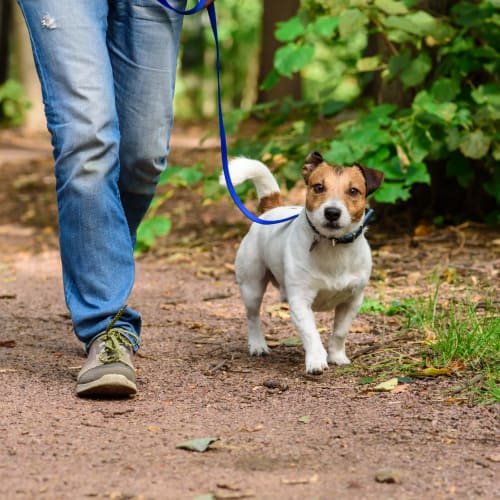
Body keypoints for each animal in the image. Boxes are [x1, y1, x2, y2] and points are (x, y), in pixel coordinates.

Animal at [222, 152, 382, 376]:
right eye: (319, 187)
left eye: (353, 191)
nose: (332, 212)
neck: (333, 246)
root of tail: (274, 208)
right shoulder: (300, 301)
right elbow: (311, 334)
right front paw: (316, 361)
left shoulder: (352, 301)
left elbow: (340, 332)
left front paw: (337, 356)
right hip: (251, 286)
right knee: (253, 317)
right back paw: (257, 345)